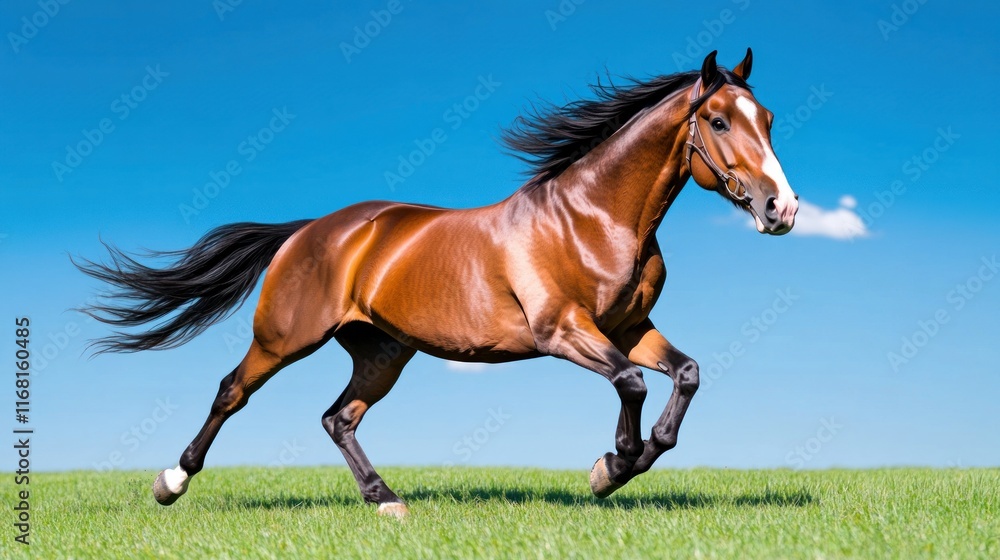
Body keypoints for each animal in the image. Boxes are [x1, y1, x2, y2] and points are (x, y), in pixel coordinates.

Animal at [77, 49, 798, 518]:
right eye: (719, 121)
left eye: (766, 119)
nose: (783, 210)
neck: (593, 219)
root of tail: (310, 230)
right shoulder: (564, 330)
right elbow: (631, 383)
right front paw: (610, 469)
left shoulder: (628, 327)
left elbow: (685, 376)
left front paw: (627, 463)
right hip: (287, 338)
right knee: (233, 391)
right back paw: (170, 482)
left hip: (383, 351)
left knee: (338, 417)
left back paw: (386, 501)